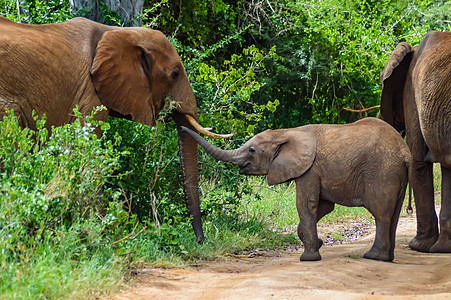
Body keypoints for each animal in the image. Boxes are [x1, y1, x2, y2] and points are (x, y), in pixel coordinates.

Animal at [0, 15, 231, 241]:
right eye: (175, 74)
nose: (201, 240)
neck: (118, 32)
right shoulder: (89, 94)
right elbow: (86, 151)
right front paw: (102, 234)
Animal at [181, 118, 414, 262]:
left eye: (252, 150)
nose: (181, 128)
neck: (286, 133)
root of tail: (405, 153)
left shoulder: (309, 169)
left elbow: (306, 204)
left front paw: (308, 258)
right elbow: (324, 207)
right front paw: (317, 243)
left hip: (382, 171)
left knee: (381, 213)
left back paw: (373, 257)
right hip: (396, 174)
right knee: (393, 215)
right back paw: (387, 258)